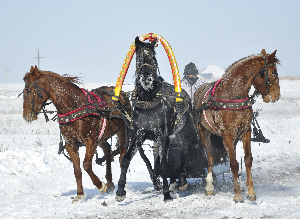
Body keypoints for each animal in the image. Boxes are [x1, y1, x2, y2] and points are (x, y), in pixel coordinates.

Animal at [22, 65, 131, 204]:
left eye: (28, 90)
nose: (26, 116)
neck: (74, 107)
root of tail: (121, 94)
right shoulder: (71, 143)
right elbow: (77, 169)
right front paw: (80, 194)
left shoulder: (91, 140)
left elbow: (86, 165)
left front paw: (100, 186)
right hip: (102, 135)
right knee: (107, 150)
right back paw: (110, 183)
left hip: (123, 130)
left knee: (122, 155)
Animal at [115, 36, 206, 202]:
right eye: (139, 57)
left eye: (153, 57)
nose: (146, 76)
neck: (148, 101)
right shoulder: (138, 134)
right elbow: (125, 159)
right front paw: (120, 191)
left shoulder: (163, 135)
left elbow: (164, 165)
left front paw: (166, 194)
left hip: (185, 132)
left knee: (185, 152)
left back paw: (184, 181)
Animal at [193, 49, 280, 202]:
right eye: (274, 72)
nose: (277, 96)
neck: (232, 96)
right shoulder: (226, 134)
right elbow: (233, 163)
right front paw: (238, 194)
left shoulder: (246, 131)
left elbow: (247, 159)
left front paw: (250, 191)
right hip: (204, 132)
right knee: (210, 156)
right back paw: (209, 185)